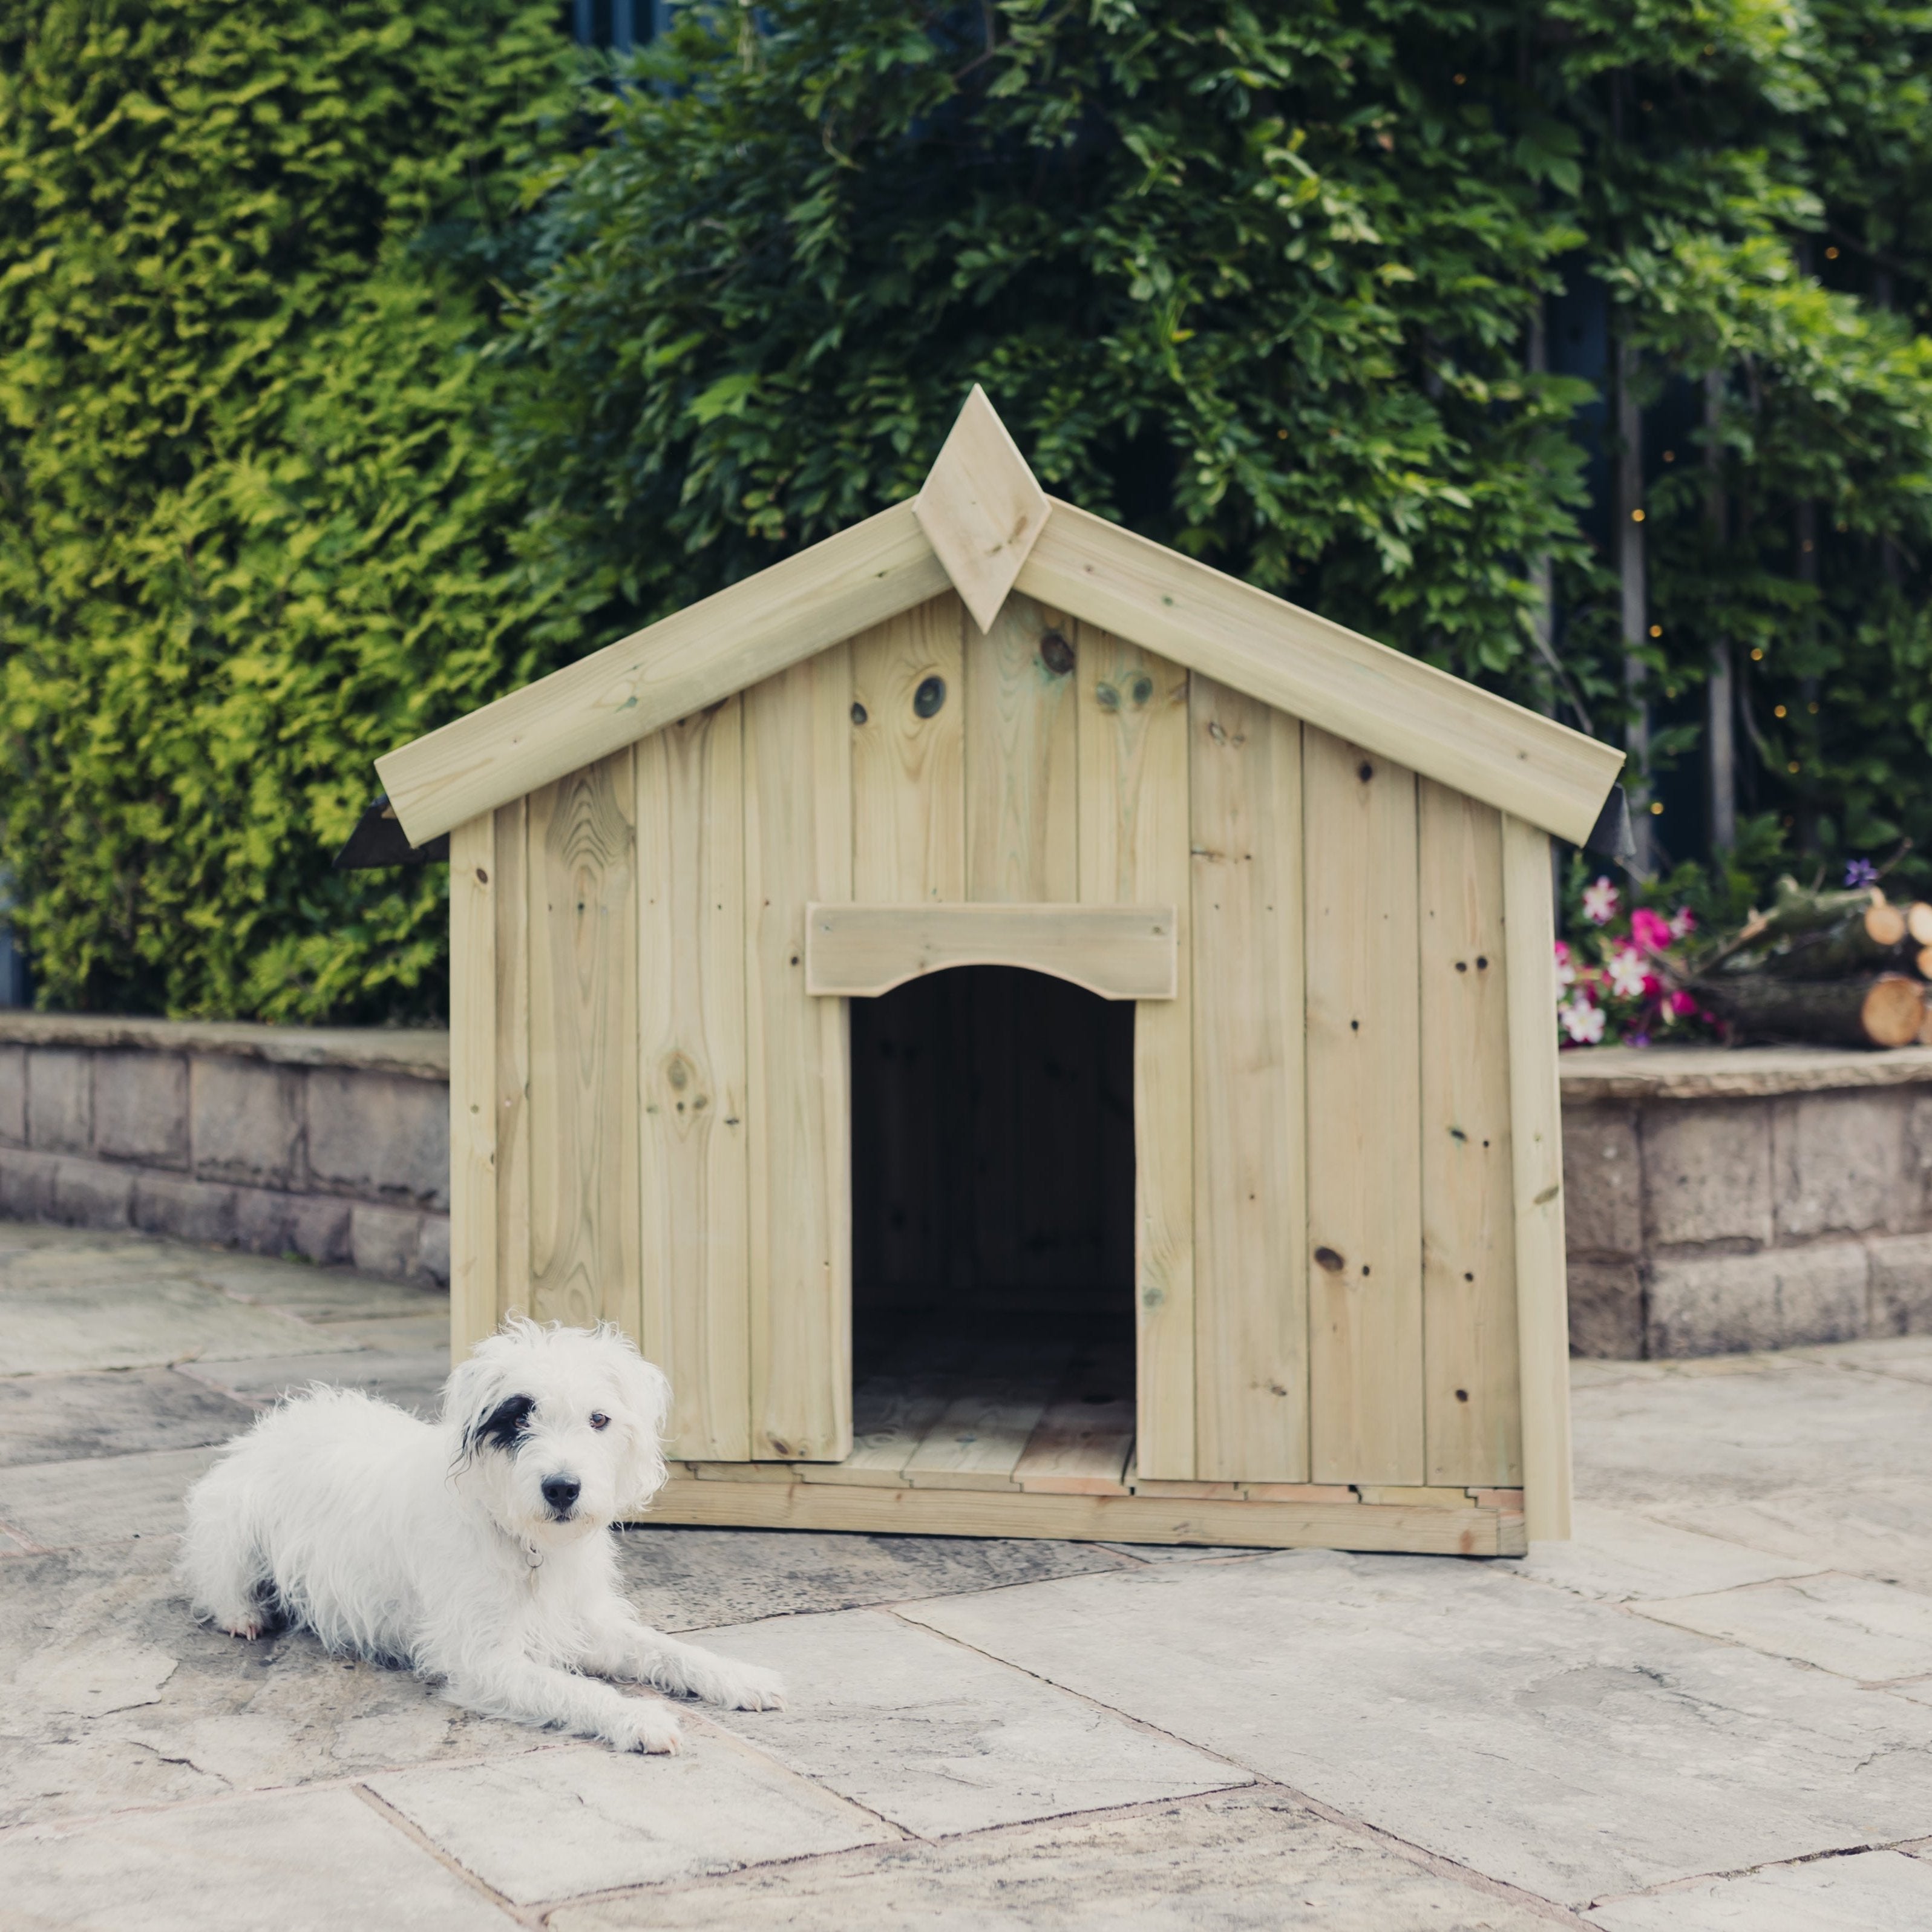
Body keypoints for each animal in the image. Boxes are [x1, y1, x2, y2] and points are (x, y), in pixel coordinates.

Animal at [177, 1314, 780, 1754]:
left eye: (598, 1419)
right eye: (518, 1418)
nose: (562, 1488)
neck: (523, 1540)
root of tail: (282, 1418)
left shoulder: (584, 1621)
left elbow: (666, 1649)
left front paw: (740, 1677)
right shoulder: (483, 1659)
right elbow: (572, 1688)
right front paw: (636, 1716)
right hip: (232, 1530)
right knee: (216, 1581)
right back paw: (244, 1615)